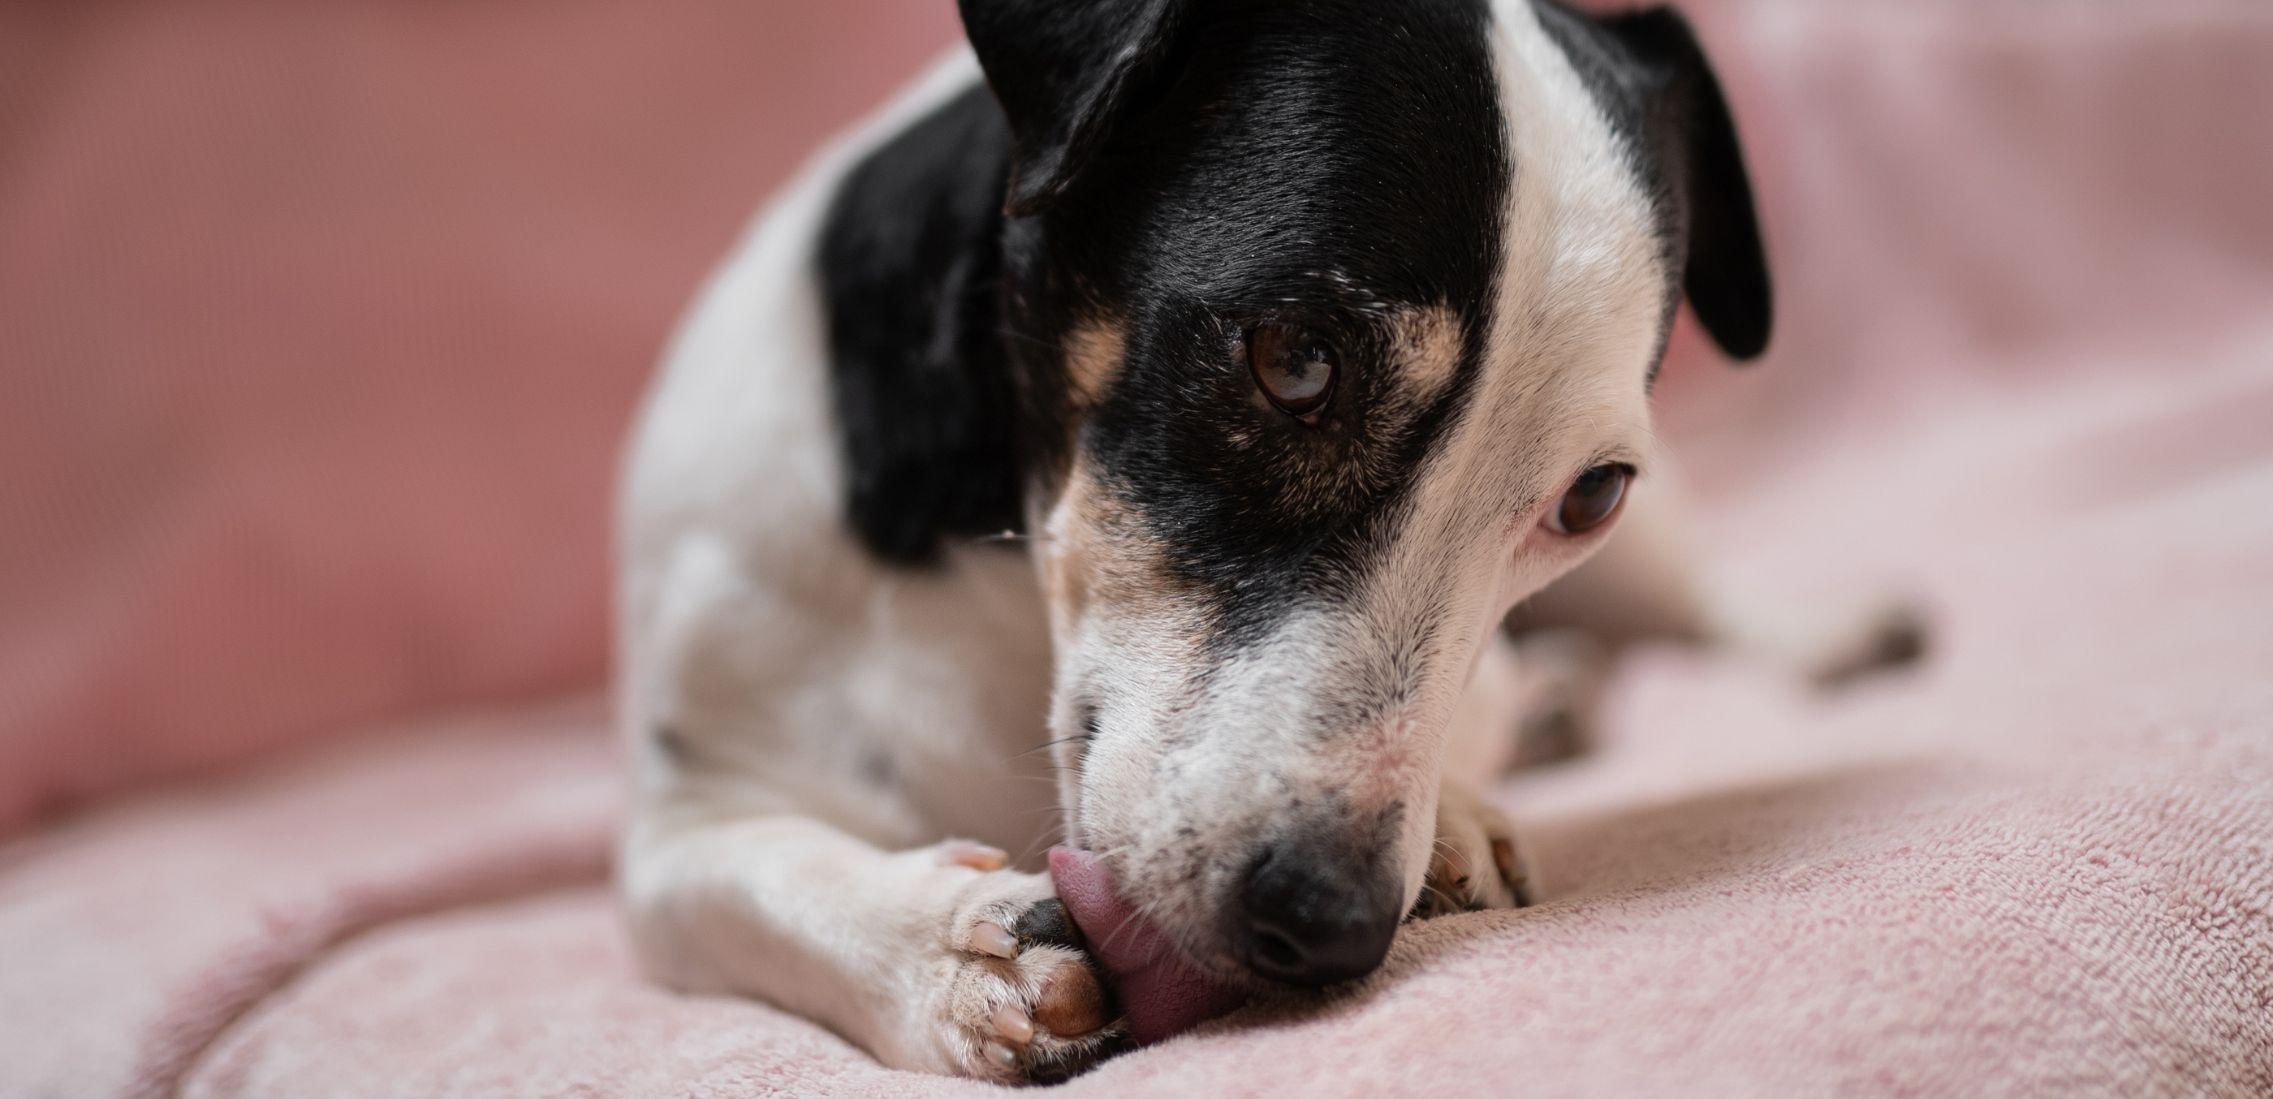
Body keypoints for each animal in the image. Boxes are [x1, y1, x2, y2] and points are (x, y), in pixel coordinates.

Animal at [613, 0, 1909, 1080]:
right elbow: (756, 882)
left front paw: (1464, 812)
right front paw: (944, 950)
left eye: (1588, 497)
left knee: (1696, 603)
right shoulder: (679, 819)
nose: (1327, 923)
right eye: (1294, 361)